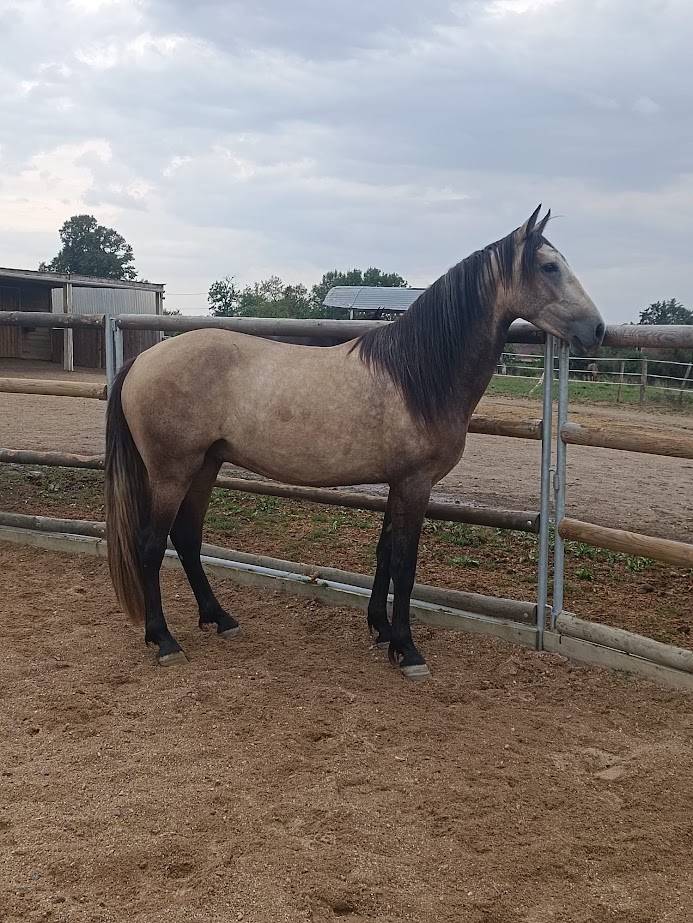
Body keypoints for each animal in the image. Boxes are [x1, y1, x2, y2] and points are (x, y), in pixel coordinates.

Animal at [105, 206, 605, 680]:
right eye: (549, 266)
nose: (597, 330)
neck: (416, 374)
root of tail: (142, 359)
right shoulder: (416, 483)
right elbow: (405, 565)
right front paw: (408, 651)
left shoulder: (397, 483)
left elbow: (384, 554)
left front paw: (381, 630)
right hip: (172, 471)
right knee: (152, 546)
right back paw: (164, 640)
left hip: (205, 465)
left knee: (187, 539)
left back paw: (220, 618)